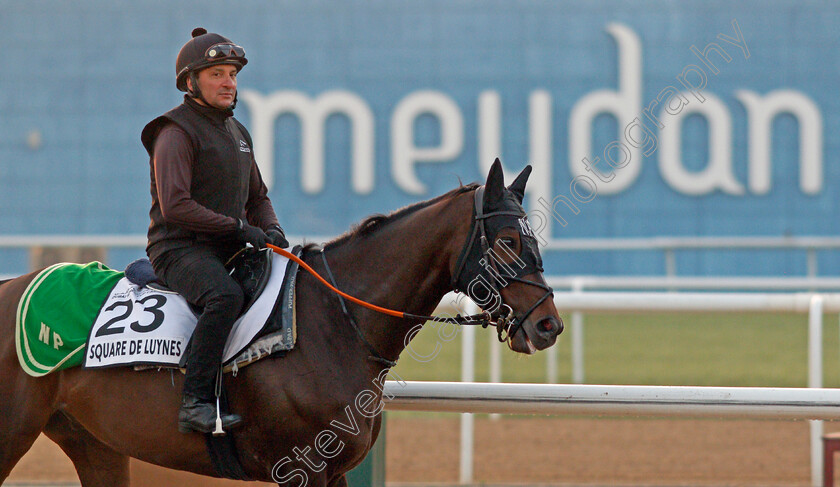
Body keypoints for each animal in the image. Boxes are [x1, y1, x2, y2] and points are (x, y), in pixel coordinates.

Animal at [1, 161, 564, 487]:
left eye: (533, 237)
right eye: (508, 241)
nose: (548, 326)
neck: (333, 324)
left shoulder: (333, 473)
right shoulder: (301, 471)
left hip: (96, 446)